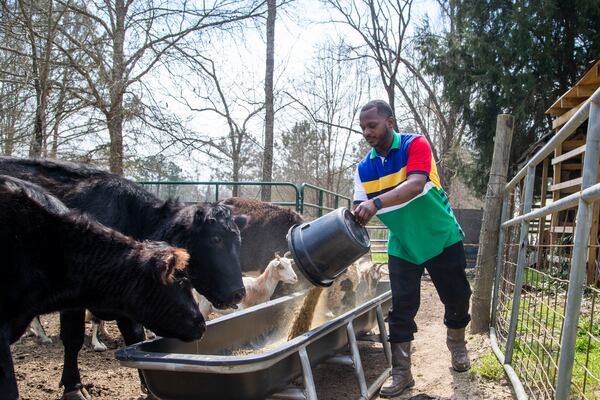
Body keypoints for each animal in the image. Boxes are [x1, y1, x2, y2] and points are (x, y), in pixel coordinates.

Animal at [0, 158, 246, 398]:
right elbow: (73, 338)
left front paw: (147, 386)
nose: (239, 292)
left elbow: (136, 336)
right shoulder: (75, 300)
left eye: (238, 240)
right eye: (215, 239)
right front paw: (74, 387)